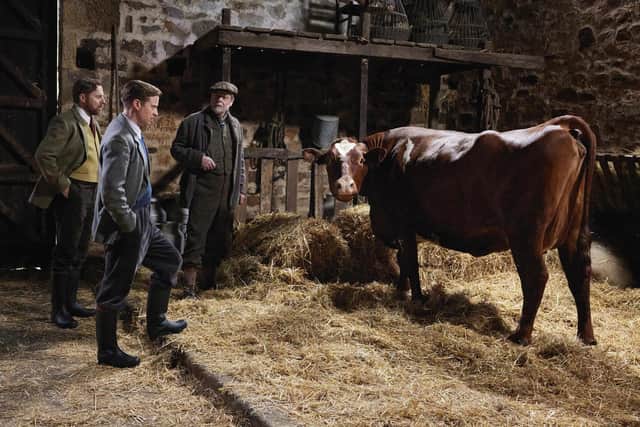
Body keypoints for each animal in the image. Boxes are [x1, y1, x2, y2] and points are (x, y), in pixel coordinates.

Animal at [303, 116, 596, 346]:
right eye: (331, 160)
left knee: (536, 278)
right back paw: (586, 336)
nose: (345, 186)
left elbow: (410, 261)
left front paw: (417, 299)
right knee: (579, 276)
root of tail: (560, 128)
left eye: (362, 159)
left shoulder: (404, 222)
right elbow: (403, 261)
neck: (391, 155)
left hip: (526, 237)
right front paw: (400, 290)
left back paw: (521, 336)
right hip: (573, 235)